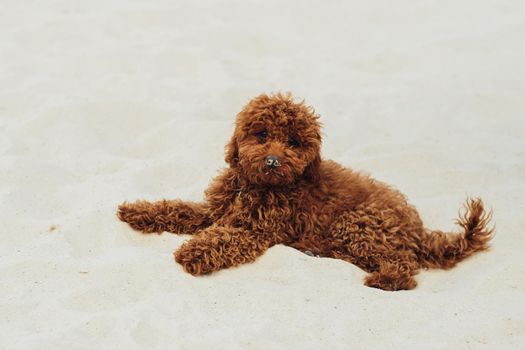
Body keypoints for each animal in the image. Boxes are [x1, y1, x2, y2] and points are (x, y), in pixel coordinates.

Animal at [117, 92, 492, 290]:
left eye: (294, 143)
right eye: (261, 134)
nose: (272, 161)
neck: (254, 185)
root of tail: (418, 230)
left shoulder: (255, 230)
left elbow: (223, 238)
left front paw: (193, 252)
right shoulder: (213, 211)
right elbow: (178, 209)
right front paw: (138, 212)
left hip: (357, 223)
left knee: (404, 267)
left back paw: (383, 278)